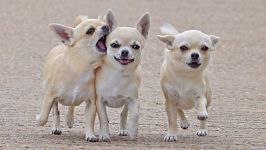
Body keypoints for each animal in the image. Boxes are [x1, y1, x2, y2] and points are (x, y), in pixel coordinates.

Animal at [35, 11, 113, 142]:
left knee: (71, 105)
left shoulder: (91, 102)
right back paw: (56, 127)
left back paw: (70, 119)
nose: (106, 26)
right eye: (90, 30)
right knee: (55, 110)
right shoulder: (50, 96)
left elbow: (89, 121)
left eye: (104, 24)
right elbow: (44, 116)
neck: (81, 68)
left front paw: (90, 135)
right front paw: (38, 119)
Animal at [96, 9, 151, 142]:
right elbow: (103, 118)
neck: (118, 73)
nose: (124, 52)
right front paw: (104, 135)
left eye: (135, 46)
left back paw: (123, 130)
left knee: (123, 114)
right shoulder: (100, 101)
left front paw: (132, 132)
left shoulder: (133, 100)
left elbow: (134, 116)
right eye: (114, 45)